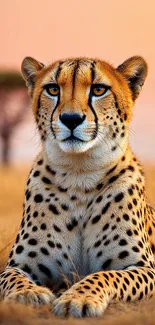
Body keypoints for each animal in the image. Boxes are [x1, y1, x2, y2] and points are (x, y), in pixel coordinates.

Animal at [0, 55, 154, 316]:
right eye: (53, 89)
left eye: (98, 89)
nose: (70, 119)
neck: (79, 174)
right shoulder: (18, 265)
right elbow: (11, 278)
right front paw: (27, 294)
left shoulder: (144, 268)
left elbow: (105, 275)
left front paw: (79, 298)